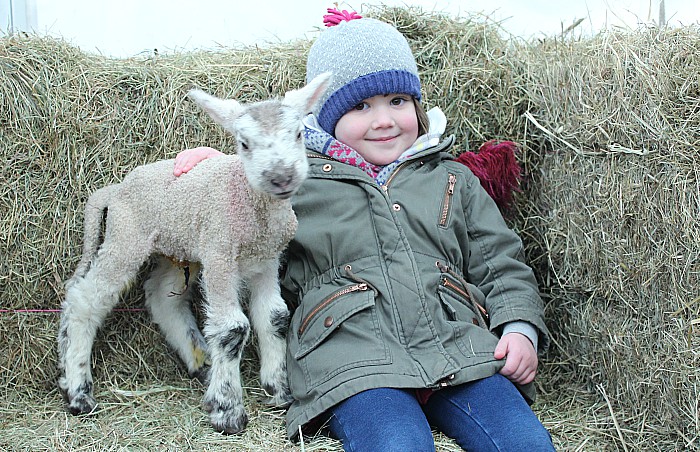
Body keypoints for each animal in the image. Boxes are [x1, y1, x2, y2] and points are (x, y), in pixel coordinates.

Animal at [56, 71, 330, 434]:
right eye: (244, 143)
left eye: (298, 133)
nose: (281, 177)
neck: (251, 205)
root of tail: (113, 191)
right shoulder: (220, 254)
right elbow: (232, 328)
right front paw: (227, 410)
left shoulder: (266, 259)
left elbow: (274, 318)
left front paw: (279, 391)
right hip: (126, 237)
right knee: (85, 300)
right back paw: (78, 391)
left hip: (177, 248)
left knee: (161, 298)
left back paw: (200, 359)